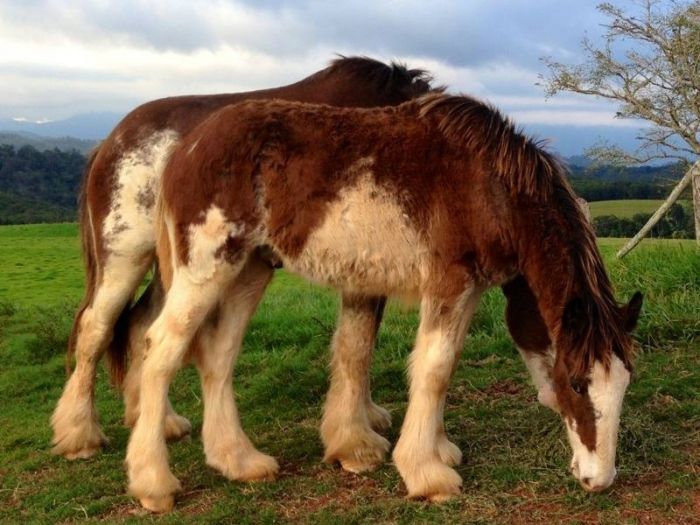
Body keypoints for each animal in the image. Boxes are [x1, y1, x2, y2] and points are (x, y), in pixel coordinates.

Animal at [51, 56, 435, 460]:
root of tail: (110, 142)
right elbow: (356, 345)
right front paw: (355, 443)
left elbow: (362, 343)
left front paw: (367, 418)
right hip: (124, 258)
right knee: (95, 329)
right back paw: (80, 434)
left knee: (142, 324)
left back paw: (161, 423)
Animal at [125, 93, 643, 512]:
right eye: (576, 383)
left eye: (623, 384)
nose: (599, 480)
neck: (489, 187)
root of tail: (186, 148)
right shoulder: (449, 283)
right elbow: (433, 369)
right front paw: (426, 474)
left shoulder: (470, 289)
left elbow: (444, 365)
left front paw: (437, 449)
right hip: (207, 268)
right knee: (159, 350)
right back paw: (153, 484)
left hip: (249, 269)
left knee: (217, 355)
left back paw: (239, 461)